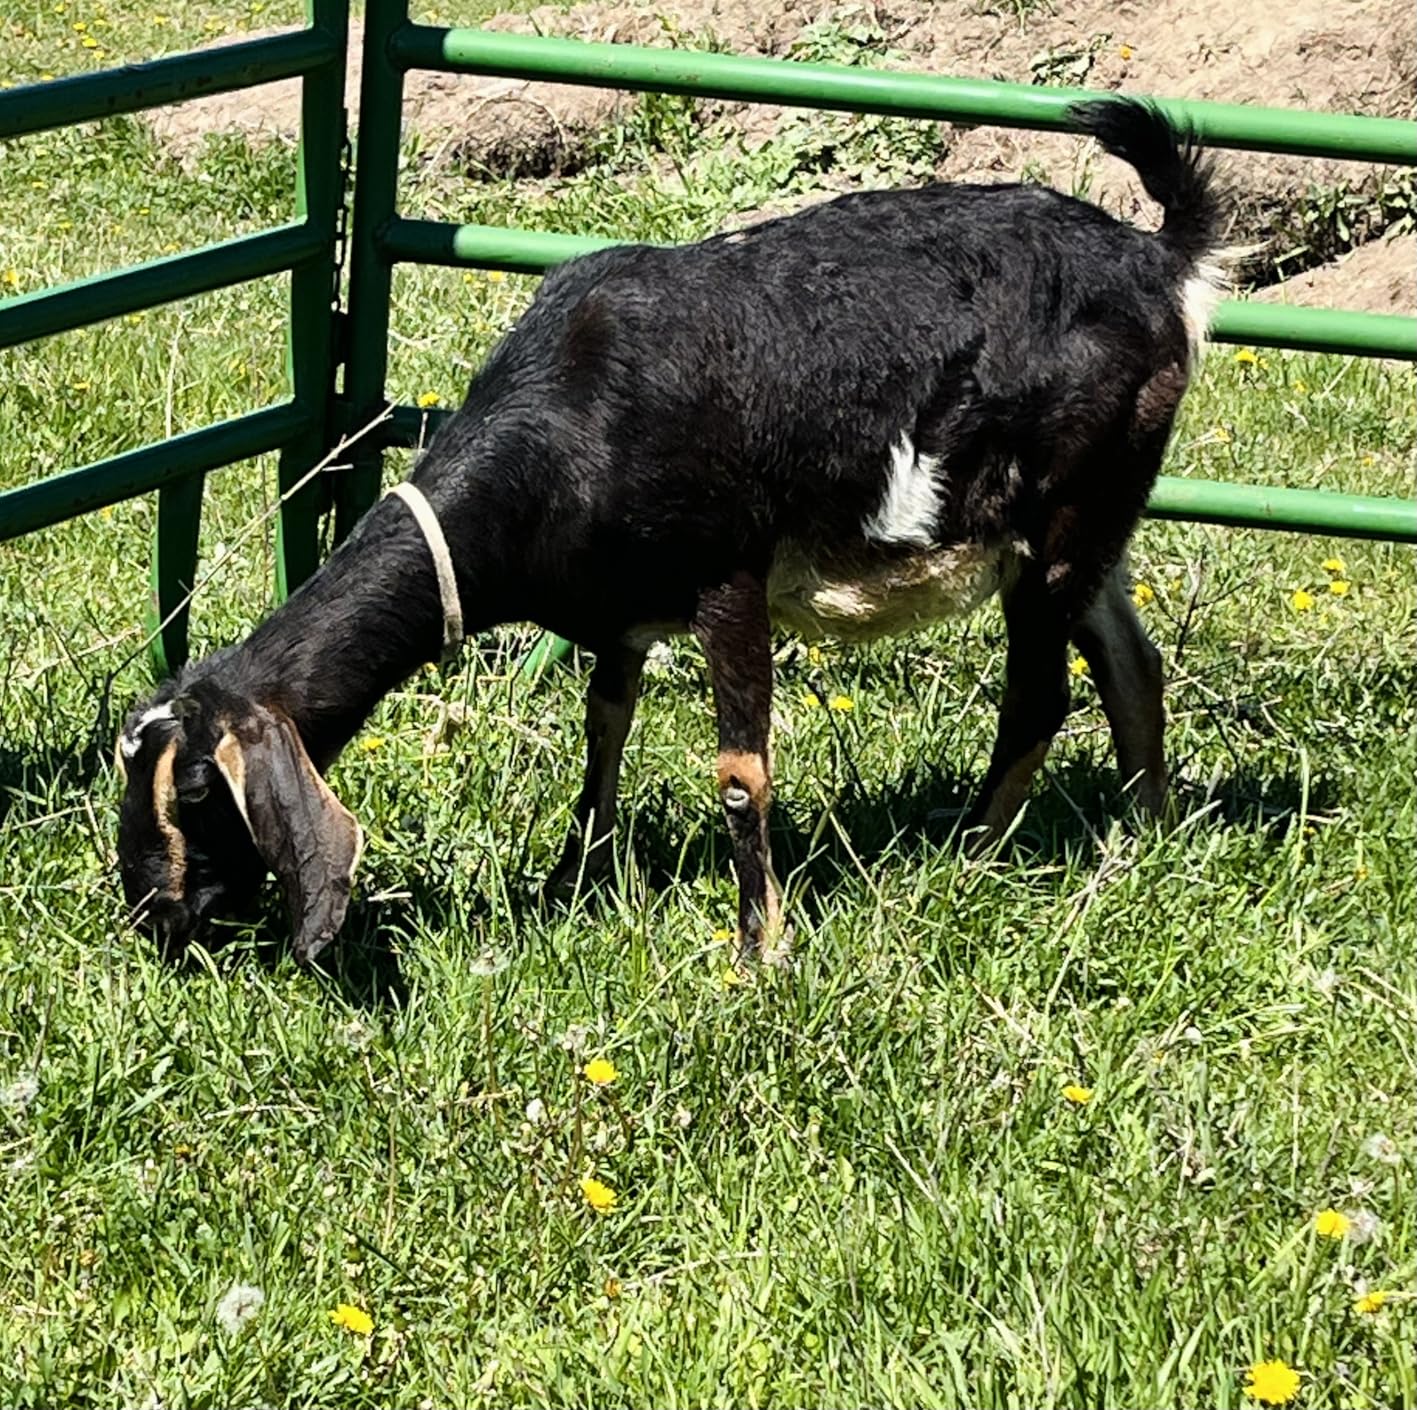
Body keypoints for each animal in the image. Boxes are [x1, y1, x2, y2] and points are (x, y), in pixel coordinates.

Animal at [116, 98, 1226, 964]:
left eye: (198, 791)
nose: (150, 919)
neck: (573, 426)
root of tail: (1161, 259)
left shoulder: (726, 575)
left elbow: (739, 775)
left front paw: (758, 948)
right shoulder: (621, 611)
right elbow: (603, 727)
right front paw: (575, 880)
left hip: (1057, 524)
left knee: (1040, 694)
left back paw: (971, 858)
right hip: (1099, 521)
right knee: (1132, 664)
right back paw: (1147, 831)